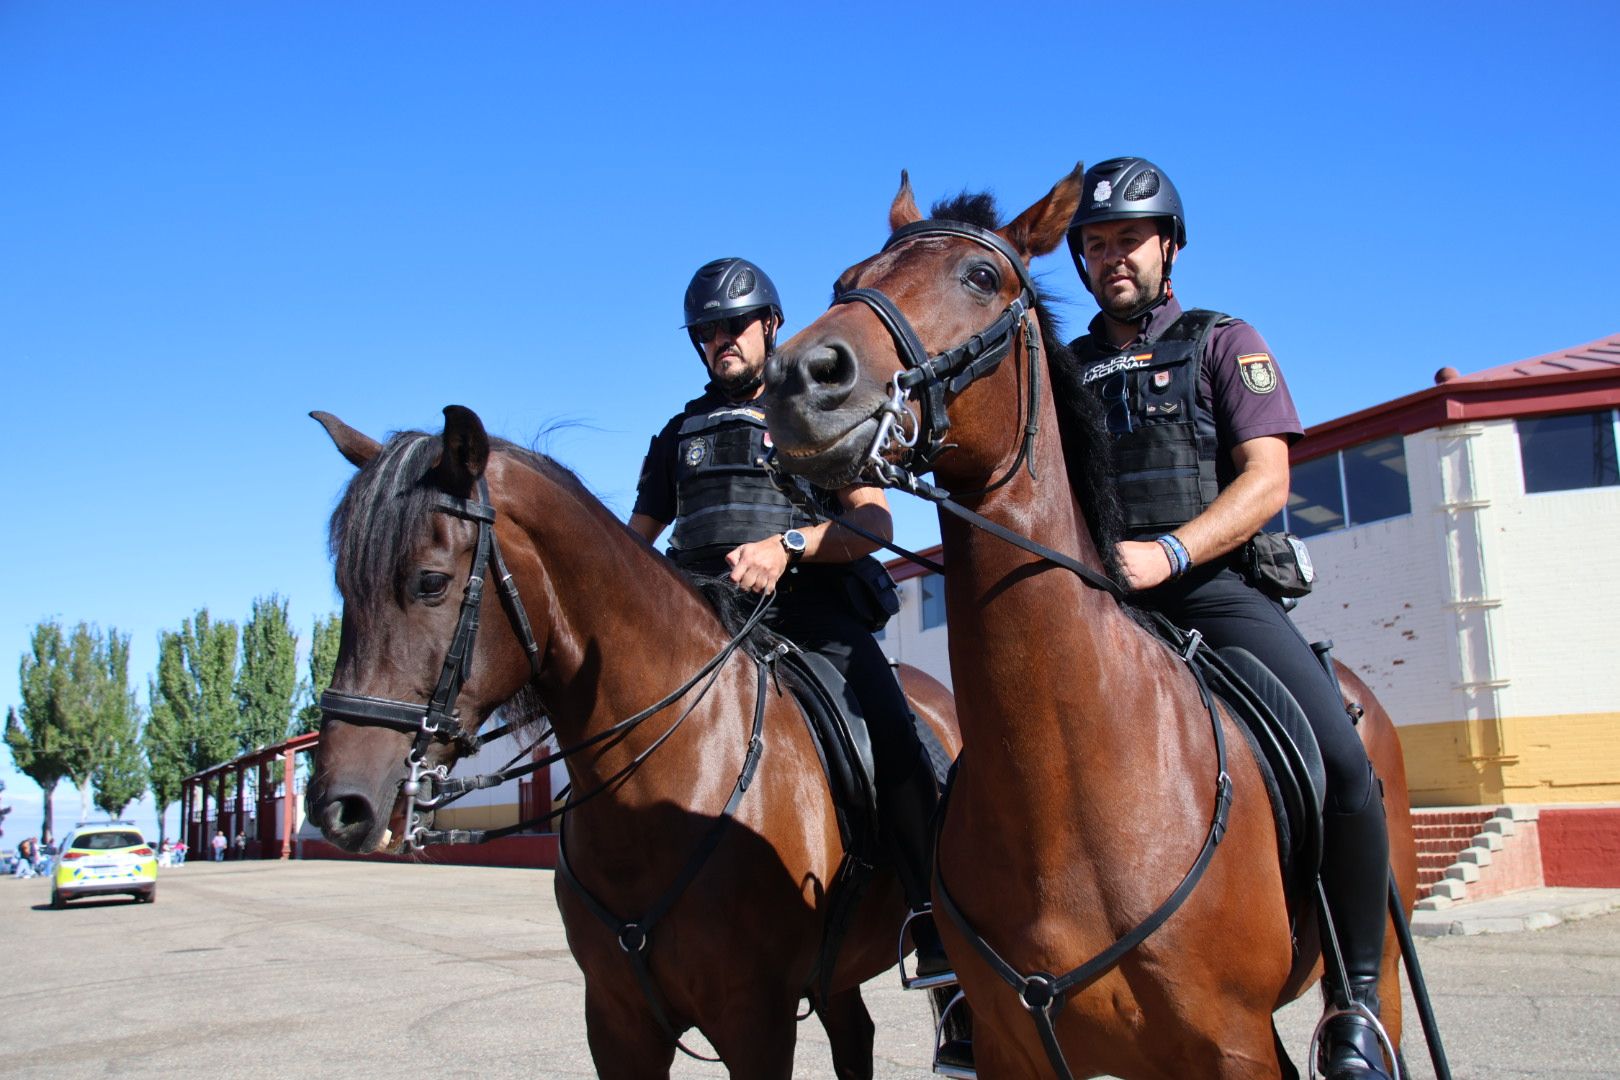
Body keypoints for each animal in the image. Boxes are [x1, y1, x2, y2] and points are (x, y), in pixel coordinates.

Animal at [304, 408, 959, 1080]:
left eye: (430, 582)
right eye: (345, 587)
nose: (338, 806)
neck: (667, 780)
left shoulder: (758, 1024)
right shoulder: (617, 1023)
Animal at [758, 165, 1419, 1075]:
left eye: (980, 277)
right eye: (846, 282)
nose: (798, 377)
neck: (1066, 791)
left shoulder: (1233, 1047)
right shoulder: (1017, 1049)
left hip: (1378, 955)